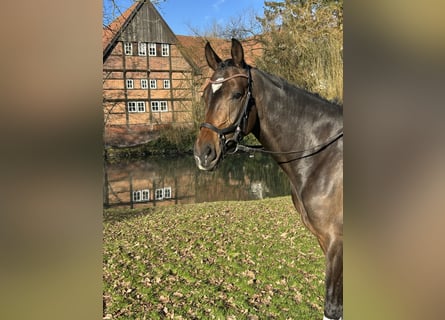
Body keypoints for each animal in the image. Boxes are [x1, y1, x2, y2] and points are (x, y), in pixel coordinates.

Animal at [194, 39, 344, 320]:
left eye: (237, 94)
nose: (203, 153)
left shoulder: (336, 243)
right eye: (206, 95)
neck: (323, 155)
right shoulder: (325, 241)